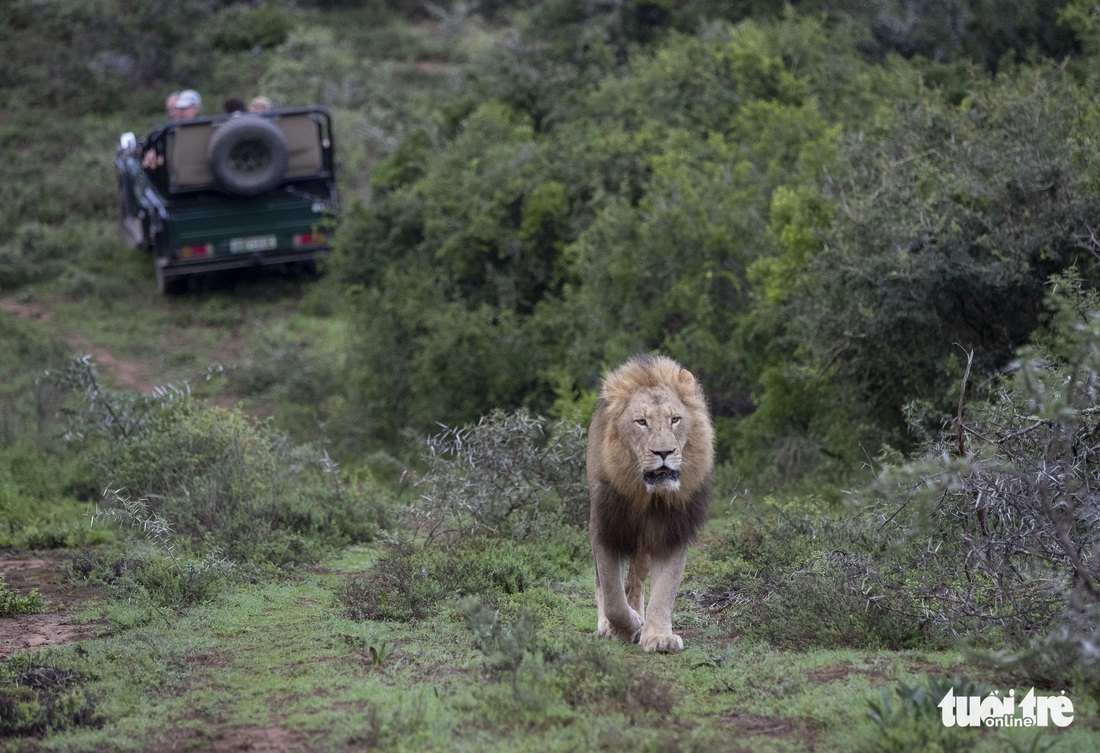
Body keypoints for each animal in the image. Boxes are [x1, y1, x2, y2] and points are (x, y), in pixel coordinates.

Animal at [585, 351, 712, 650]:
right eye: (641, 422)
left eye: (675, 419)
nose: (664, 452)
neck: (649, 498)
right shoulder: (605, 528)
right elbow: (612, 595)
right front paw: (623, 626)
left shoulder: (673, 531)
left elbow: (665, 590)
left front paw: (658, 637)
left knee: (636, 580)